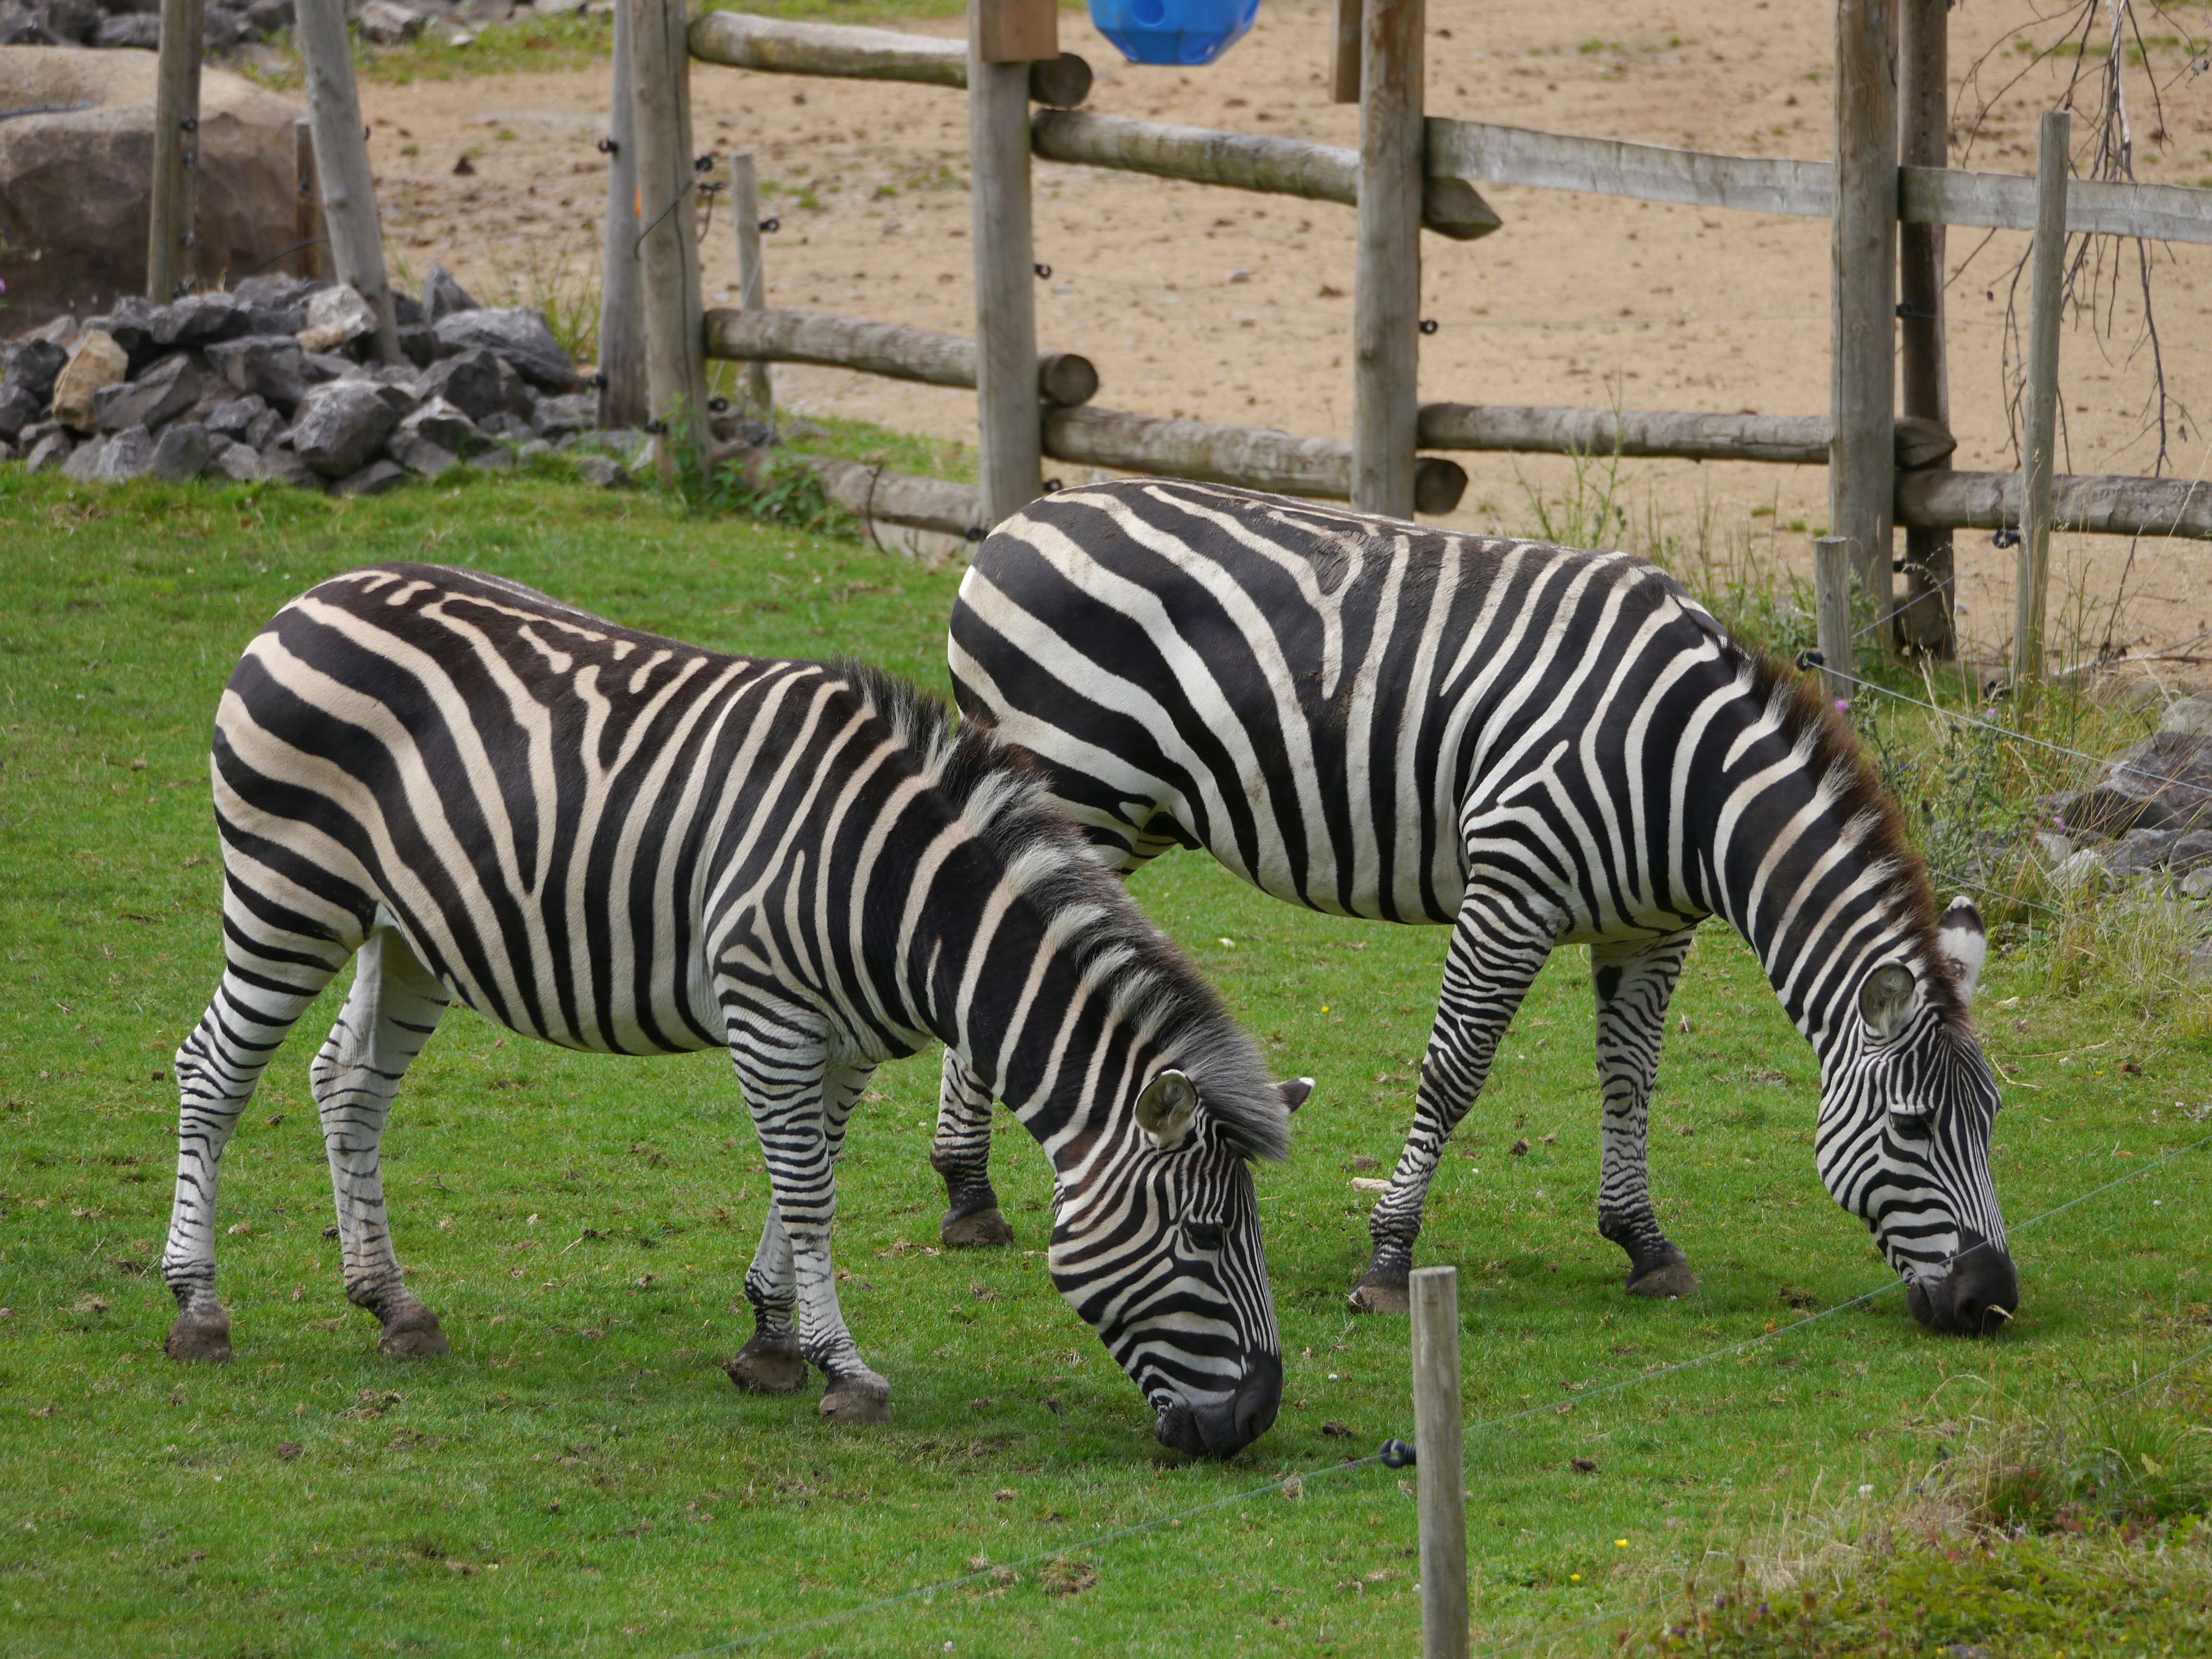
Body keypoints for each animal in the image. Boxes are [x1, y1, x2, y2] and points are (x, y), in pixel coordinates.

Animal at [160, 562, 1304, 1457]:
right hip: (287, 892)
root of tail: (311, 596)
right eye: (1207, 1238)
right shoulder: (769, 1015)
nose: (1252, 1420)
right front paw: (846, 1371)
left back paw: (391, 1304)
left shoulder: (843, 1043)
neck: (901, 894)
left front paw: (771, 1344)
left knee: (347, 1085)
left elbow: (808, 1177)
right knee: (213, 1071)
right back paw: (198, 1309)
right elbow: (808, 1194)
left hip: (405, 932)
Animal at [928, 479, 2017, 1336]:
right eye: (1915, 1127)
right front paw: (1387, 1259)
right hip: (1073, 787)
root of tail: (1022, 518)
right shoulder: (1513, 887)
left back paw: (967, 1191)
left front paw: (1643, 1242)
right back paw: (969, 1197)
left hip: (1126, 813)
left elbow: (1631, 1081)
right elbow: (1454, 1075)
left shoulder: (1652, 927)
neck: (1688, 779)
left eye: (1993, 1122)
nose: (1992, 1300)